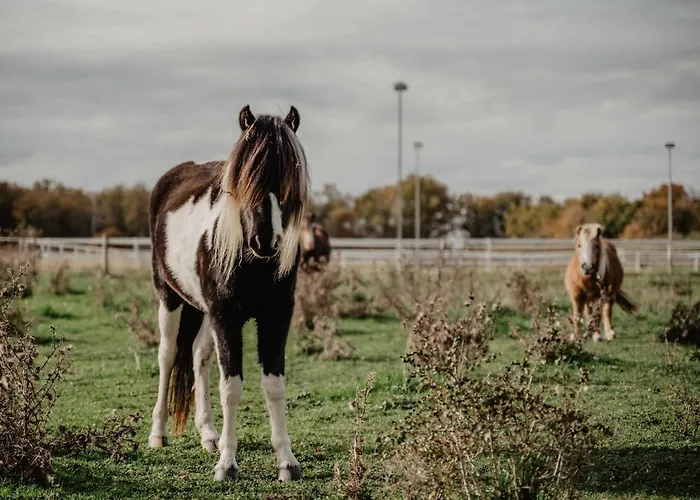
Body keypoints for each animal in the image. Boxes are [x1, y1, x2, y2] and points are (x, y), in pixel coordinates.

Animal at [147, 104, 309, 483]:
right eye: (243, 180)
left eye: (288, 180)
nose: (264, 240)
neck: (254, 264)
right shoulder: (227, 317)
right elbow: (231, 387)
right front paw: (227, 464)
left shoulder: (276, 317)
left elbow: (274, 386)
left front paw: (287, 462)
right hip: (170, 299)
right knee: (167, 357)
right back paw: (158, 433)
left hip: (204, 312)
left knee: (199, 357)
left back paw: (209, 435)